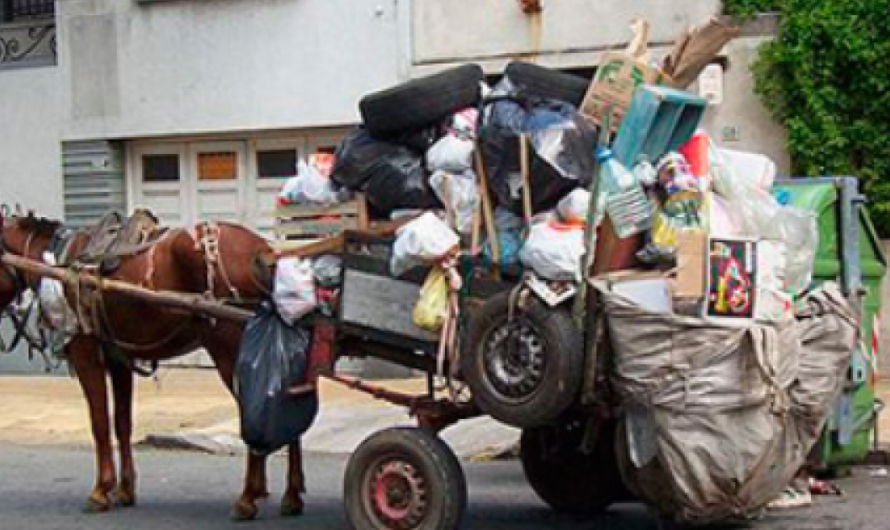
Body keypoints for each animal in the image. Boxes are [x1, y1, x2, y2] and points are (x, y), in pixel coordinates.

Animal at [0, 212, 304, 516]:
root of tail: (263, 250)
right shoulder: (119, 360)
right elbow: (122, 423)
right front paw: (124, 489)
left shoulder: (86, 354)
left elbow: (99, 423)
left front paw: (101, 490)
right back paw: (290, 495)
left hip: (230, 352)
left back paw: (248, 497)